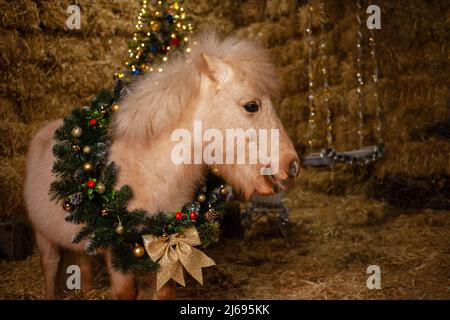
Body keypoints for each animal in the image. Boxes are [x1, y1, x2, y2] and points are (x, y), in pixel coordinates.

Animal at [23, 33, 298, 302]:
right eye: (251, 105)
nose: (292, 165)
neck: (148, 172)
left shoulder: (165, 243)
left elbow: (164, 292)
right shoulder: (117, 248)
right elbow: (126, 291)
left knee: (82, 262)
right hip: (43, 235)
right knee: (50, 264)